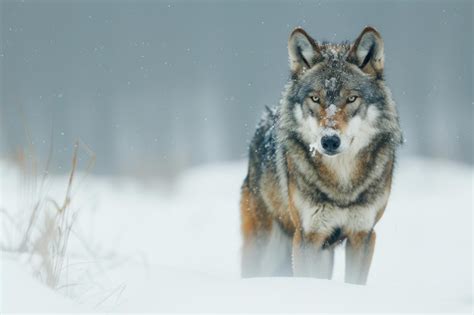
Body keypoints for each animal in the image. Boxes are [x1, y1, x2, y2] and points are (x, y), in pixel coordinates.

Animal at [239, 25, 402, 286]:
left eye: (351, 98)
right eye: (315, 98)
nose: (330, 140)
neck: (342, 183)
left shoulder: (363, 235)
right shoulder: (308, 236)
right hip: (267, 246)